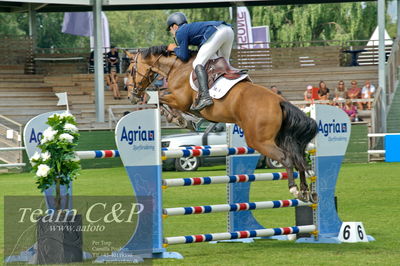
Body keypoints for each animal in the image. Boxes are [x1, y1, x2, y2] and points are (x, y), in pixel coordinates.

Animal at [128, 45, 318, 202]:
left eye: (130, 70)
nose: (131, 95)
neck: (177, 67)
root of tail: (279, 101)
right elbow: (160, 97)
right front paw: (185, 120)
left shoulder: (180, 100)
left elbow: (158, 97)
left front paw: (177, 118)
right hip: (279, 138)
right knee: (297, 158)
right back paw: (306, 191)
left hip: (259, 141)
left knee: (286, 158)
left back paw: (294, 189)